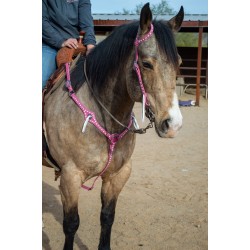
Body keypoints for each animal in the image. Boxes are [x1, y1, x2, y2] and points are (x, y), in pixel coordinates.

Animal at [42, 2, 184, 250]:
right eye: (146, 64)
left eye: (179, 63)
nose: (173, 124)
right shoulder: (70, 177)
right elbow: (71, 224)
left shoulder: (118, 175)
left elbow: (107, 217)